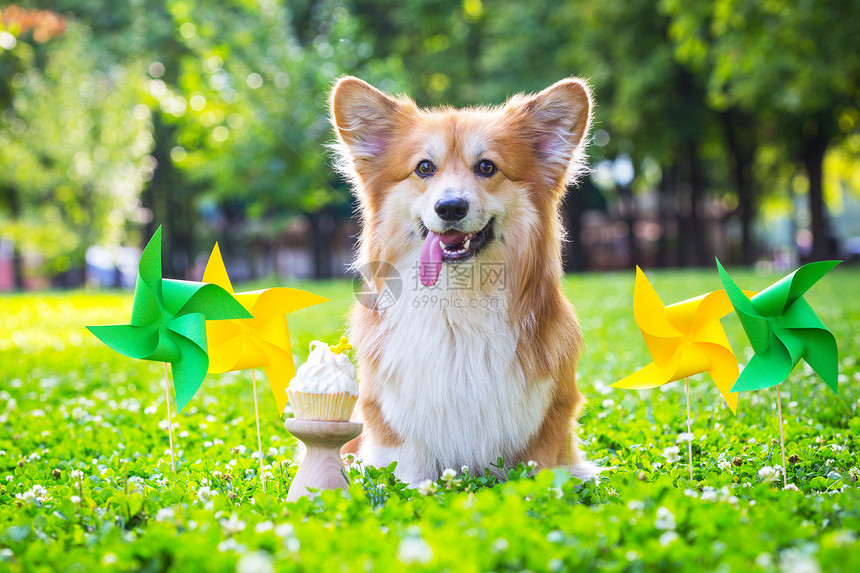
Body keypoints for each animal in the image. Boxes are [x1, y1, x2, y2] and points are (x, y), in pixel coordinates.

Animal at [330, 76, 596, 482]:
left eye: (486, 167)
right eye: (424, 168)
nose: (451, 207)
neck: (459, 303)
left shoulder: (548, 422)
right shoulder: (397, 432)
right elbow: (410, 474)